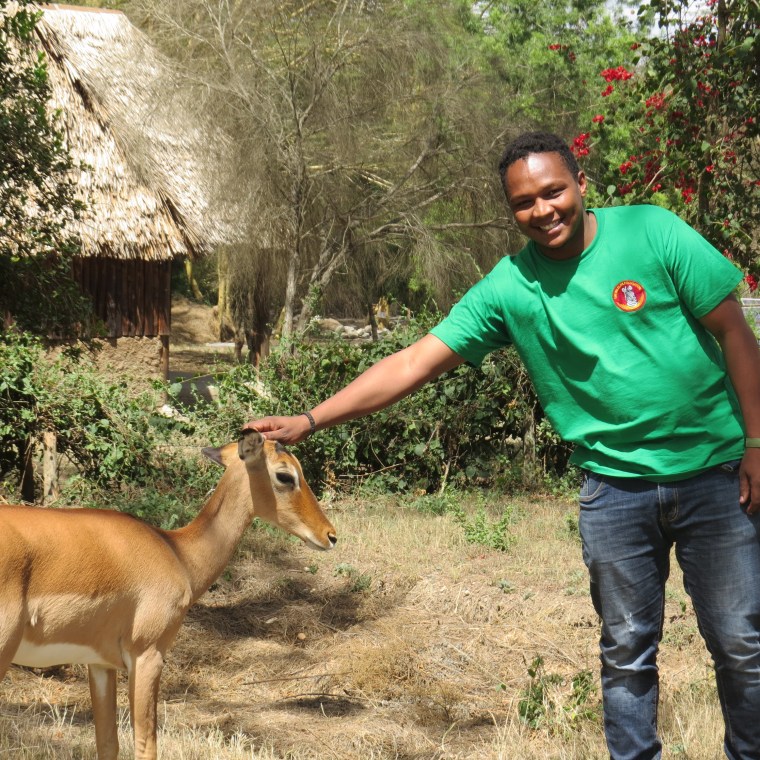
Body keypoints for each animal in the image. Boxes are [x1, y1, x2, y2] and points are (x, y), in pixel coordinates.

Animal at [0, 429, 336, 760]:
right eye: (285, 475)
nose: (330, 535)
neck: (178, 553)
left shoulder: (100, 664)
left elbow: (108, 743)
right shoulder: (148, 655)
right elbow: (146, 745)